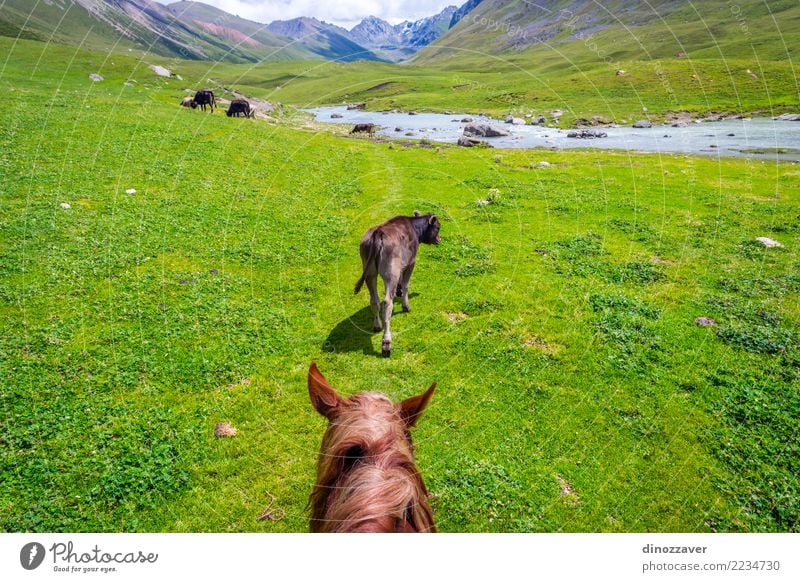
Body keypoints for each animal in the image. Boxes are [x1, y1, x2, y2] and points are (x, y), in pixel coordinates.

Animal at [356, 210, 444, 356]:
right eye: (438, 227)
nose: (439, 239)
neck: (414, 228)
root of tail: (378, 232)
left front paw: (398, 291)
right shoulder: (411, 262)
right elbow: (406, 284)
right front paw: (406, 306)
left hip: (370, 272)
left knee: (375, 300)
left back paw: (377, 326)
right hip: (391, 273)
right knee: (387, 302)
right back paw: (386, 344)